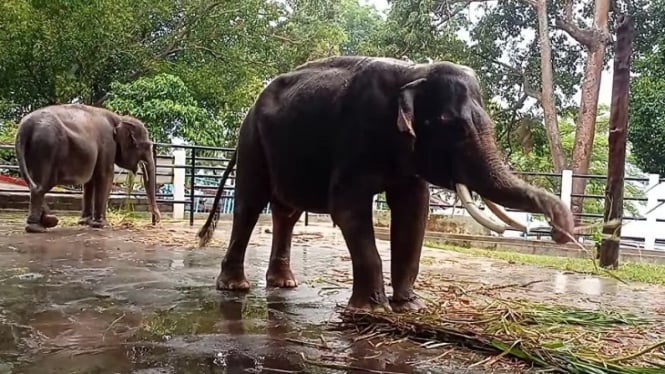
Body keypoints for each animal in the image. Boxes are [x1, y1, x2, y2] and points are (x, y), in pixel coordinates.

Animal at [13, 103, 161, 232]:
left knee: (34, 184)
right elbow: (106, 175)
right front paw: (101, 224)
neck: (119, 118)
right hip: (46, 149)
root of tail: (24, 127)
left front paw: (85, 222)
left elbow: (90, 181)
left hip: (32, 151)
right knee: (40, 186)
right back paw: (36, 228)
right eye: (146, 145)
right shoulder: (107, 144)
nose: (157, 220)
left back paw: (48, 221)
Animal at [197, 54, 576, 312]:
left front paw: (410, 306)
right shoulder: (357, 135)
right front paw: (371, 308)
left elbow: (414, 209)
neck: (414, 73)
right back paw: (235, 288)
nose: (562, 234)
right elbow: (346, 206)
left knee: (286, 212)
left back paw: (285, 284)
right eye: (452, 125)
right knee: (250, 203)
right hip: (252, 141)